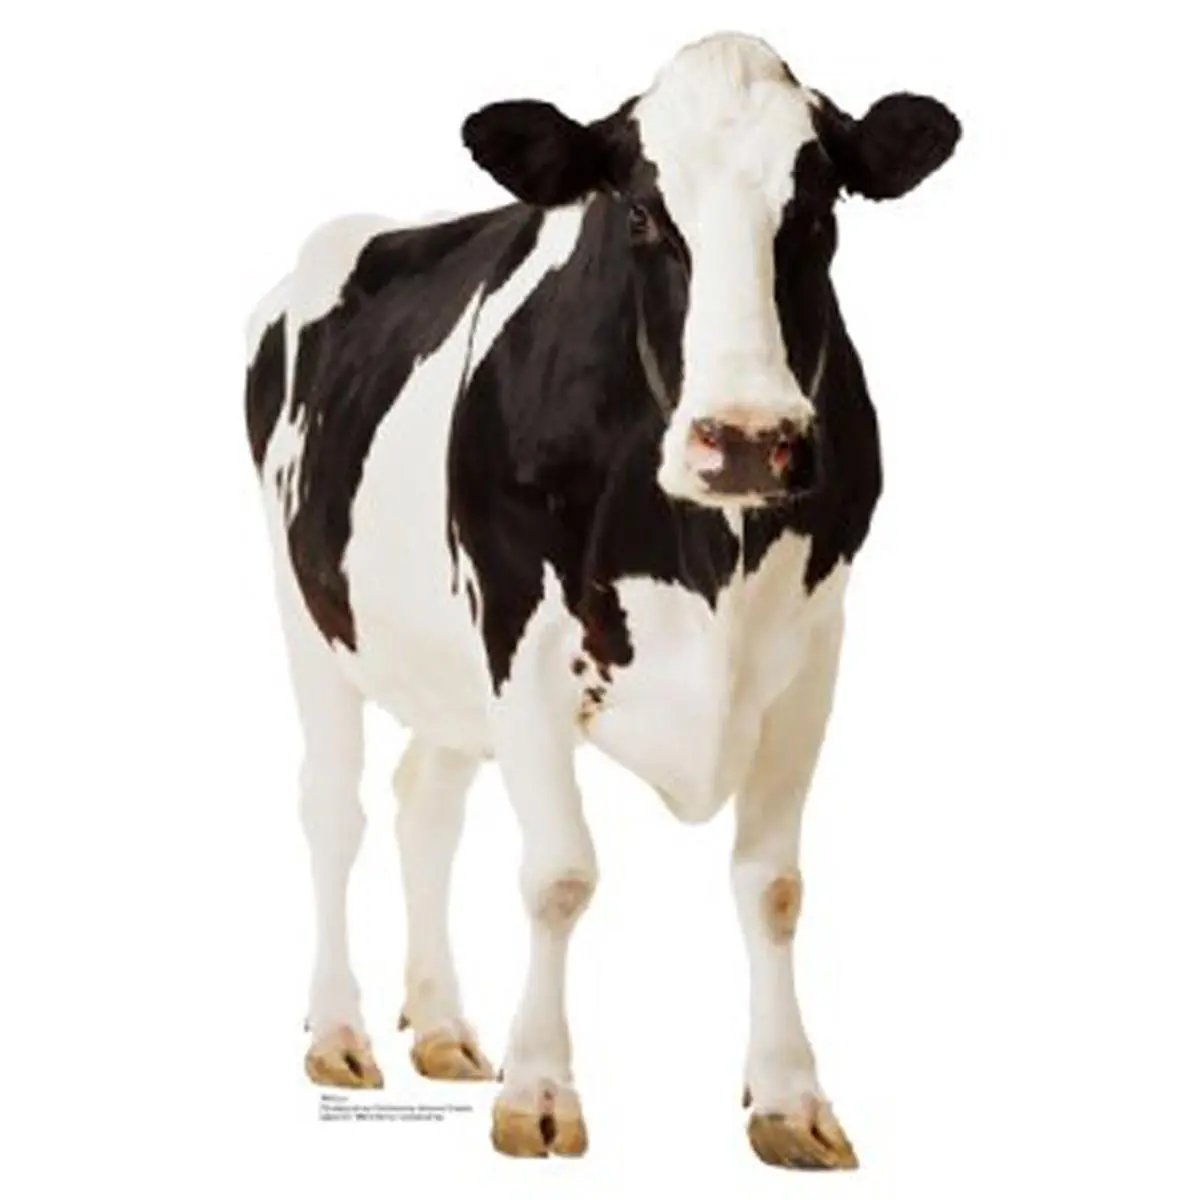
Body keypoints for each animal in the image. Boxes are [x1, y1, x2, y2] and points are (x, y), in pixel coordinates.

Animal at [244, 31, 959, 1168]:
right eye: (639, 215)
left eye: (816, 211)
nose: (747, 439)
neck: (706, 549)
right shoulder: (520, 639)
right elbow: (559, 875)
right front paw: (539, 1092)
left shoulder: (813, 653)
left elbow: (774, 884)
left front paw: (790, 1098)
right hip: (307, 609)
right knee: (332, 809)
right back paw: (339, 1033)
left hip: (446, 667)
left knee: (424, 804)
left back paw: (439, 1026)